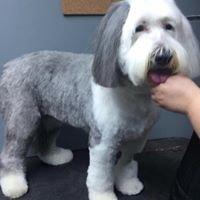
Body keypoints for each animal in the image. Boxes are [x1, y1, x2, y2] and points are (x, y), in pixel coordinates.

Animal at [0, 0, 200, 200]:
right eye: (139, 28)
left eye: (169, 26)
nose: (163, 56)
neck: (133, 93)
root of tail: (10, 65)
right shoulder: (103, 142)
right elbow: (101, 175)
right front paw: (104, 195)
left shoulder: (136, 138)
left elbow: (126, 164)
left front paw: (128, 184)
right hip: (23, 118)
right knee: (11, 152)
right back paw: (13, 184)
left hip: (51, 118)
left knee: (45, 139)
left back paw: (54, 157)